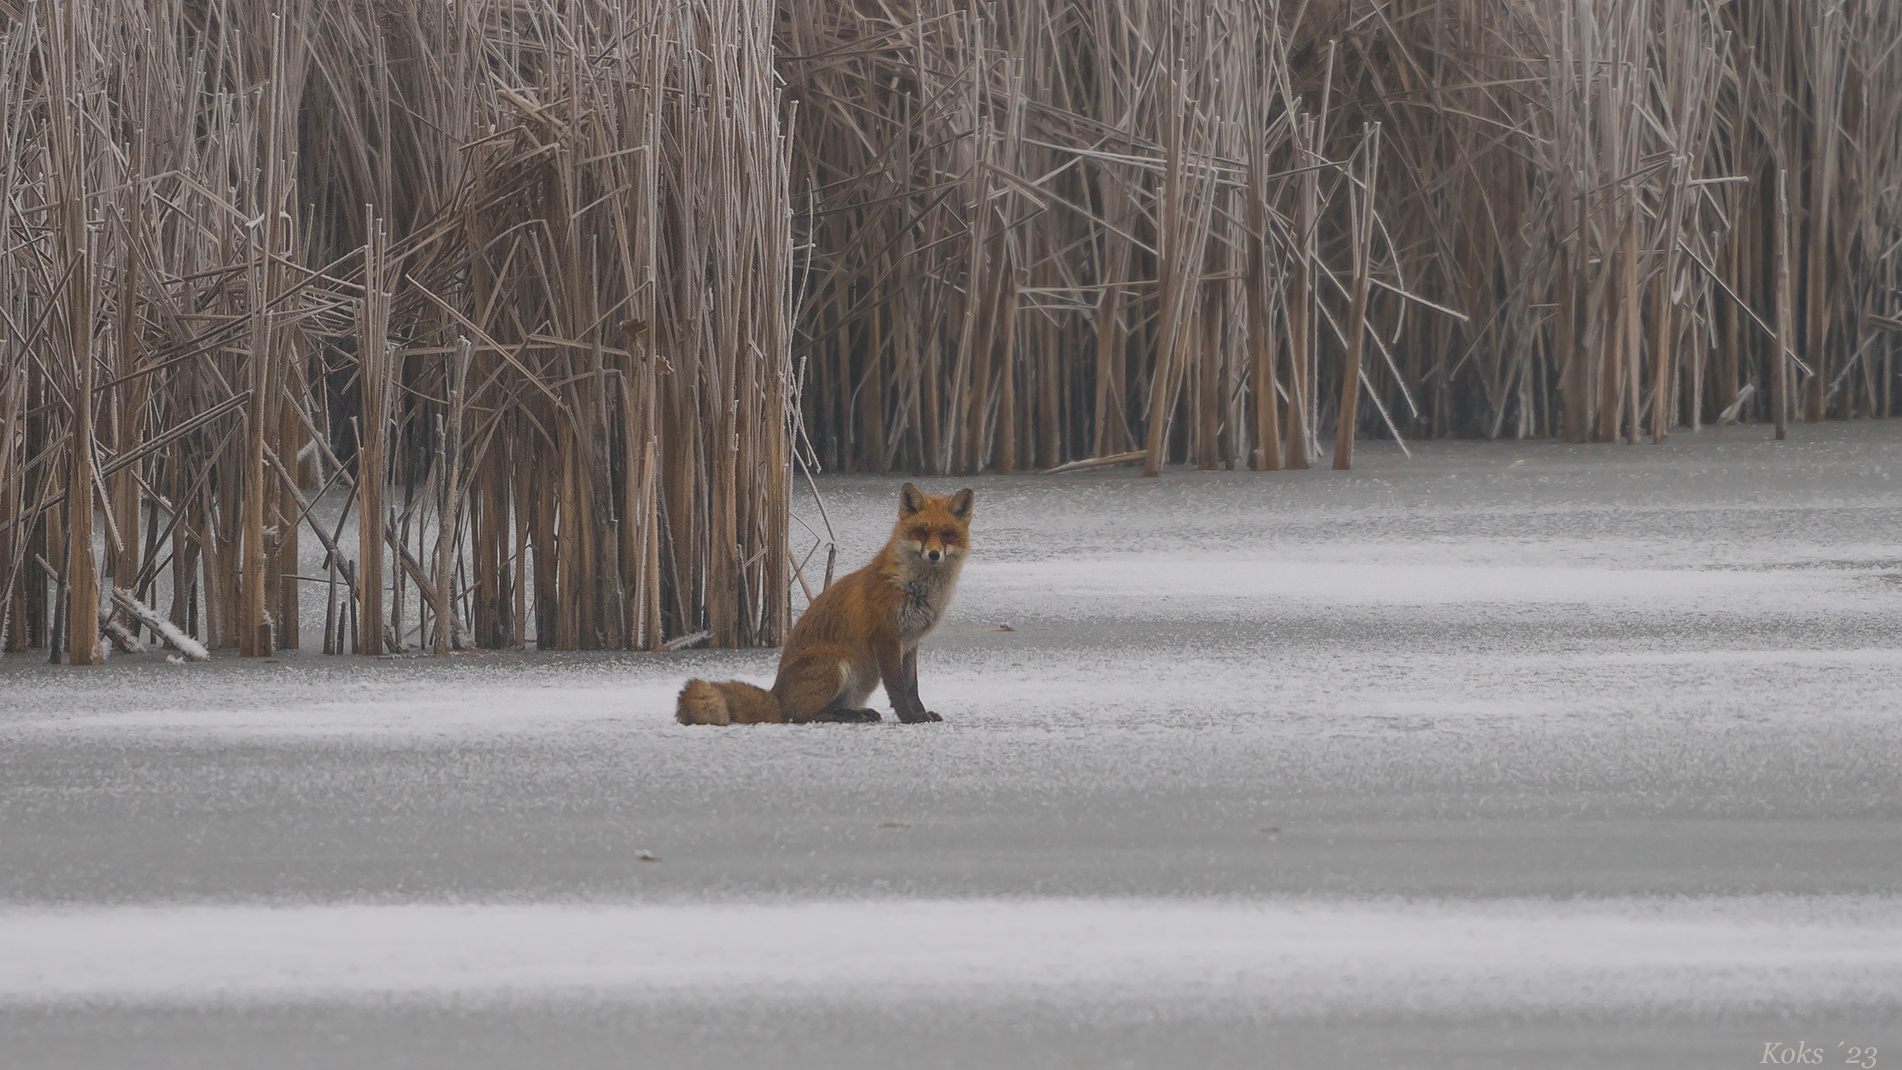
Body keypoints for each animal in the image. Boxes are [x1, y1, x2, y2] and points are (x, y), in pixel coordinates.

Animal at [677, 486, 973, 729]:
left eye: (947, 534)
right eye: (922, 531)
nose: (933, 554)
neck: (915, 588)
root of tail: (775, 694)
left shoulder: (911, 642)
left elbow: (912, 687)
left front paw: (921, 714)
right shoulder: (886, 637)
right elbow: (898, 689)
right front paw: (909, 718)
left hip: (863, 679)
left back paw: (856, 713)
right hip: (838, 667)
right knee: (799, 715)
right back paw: (844, 716)